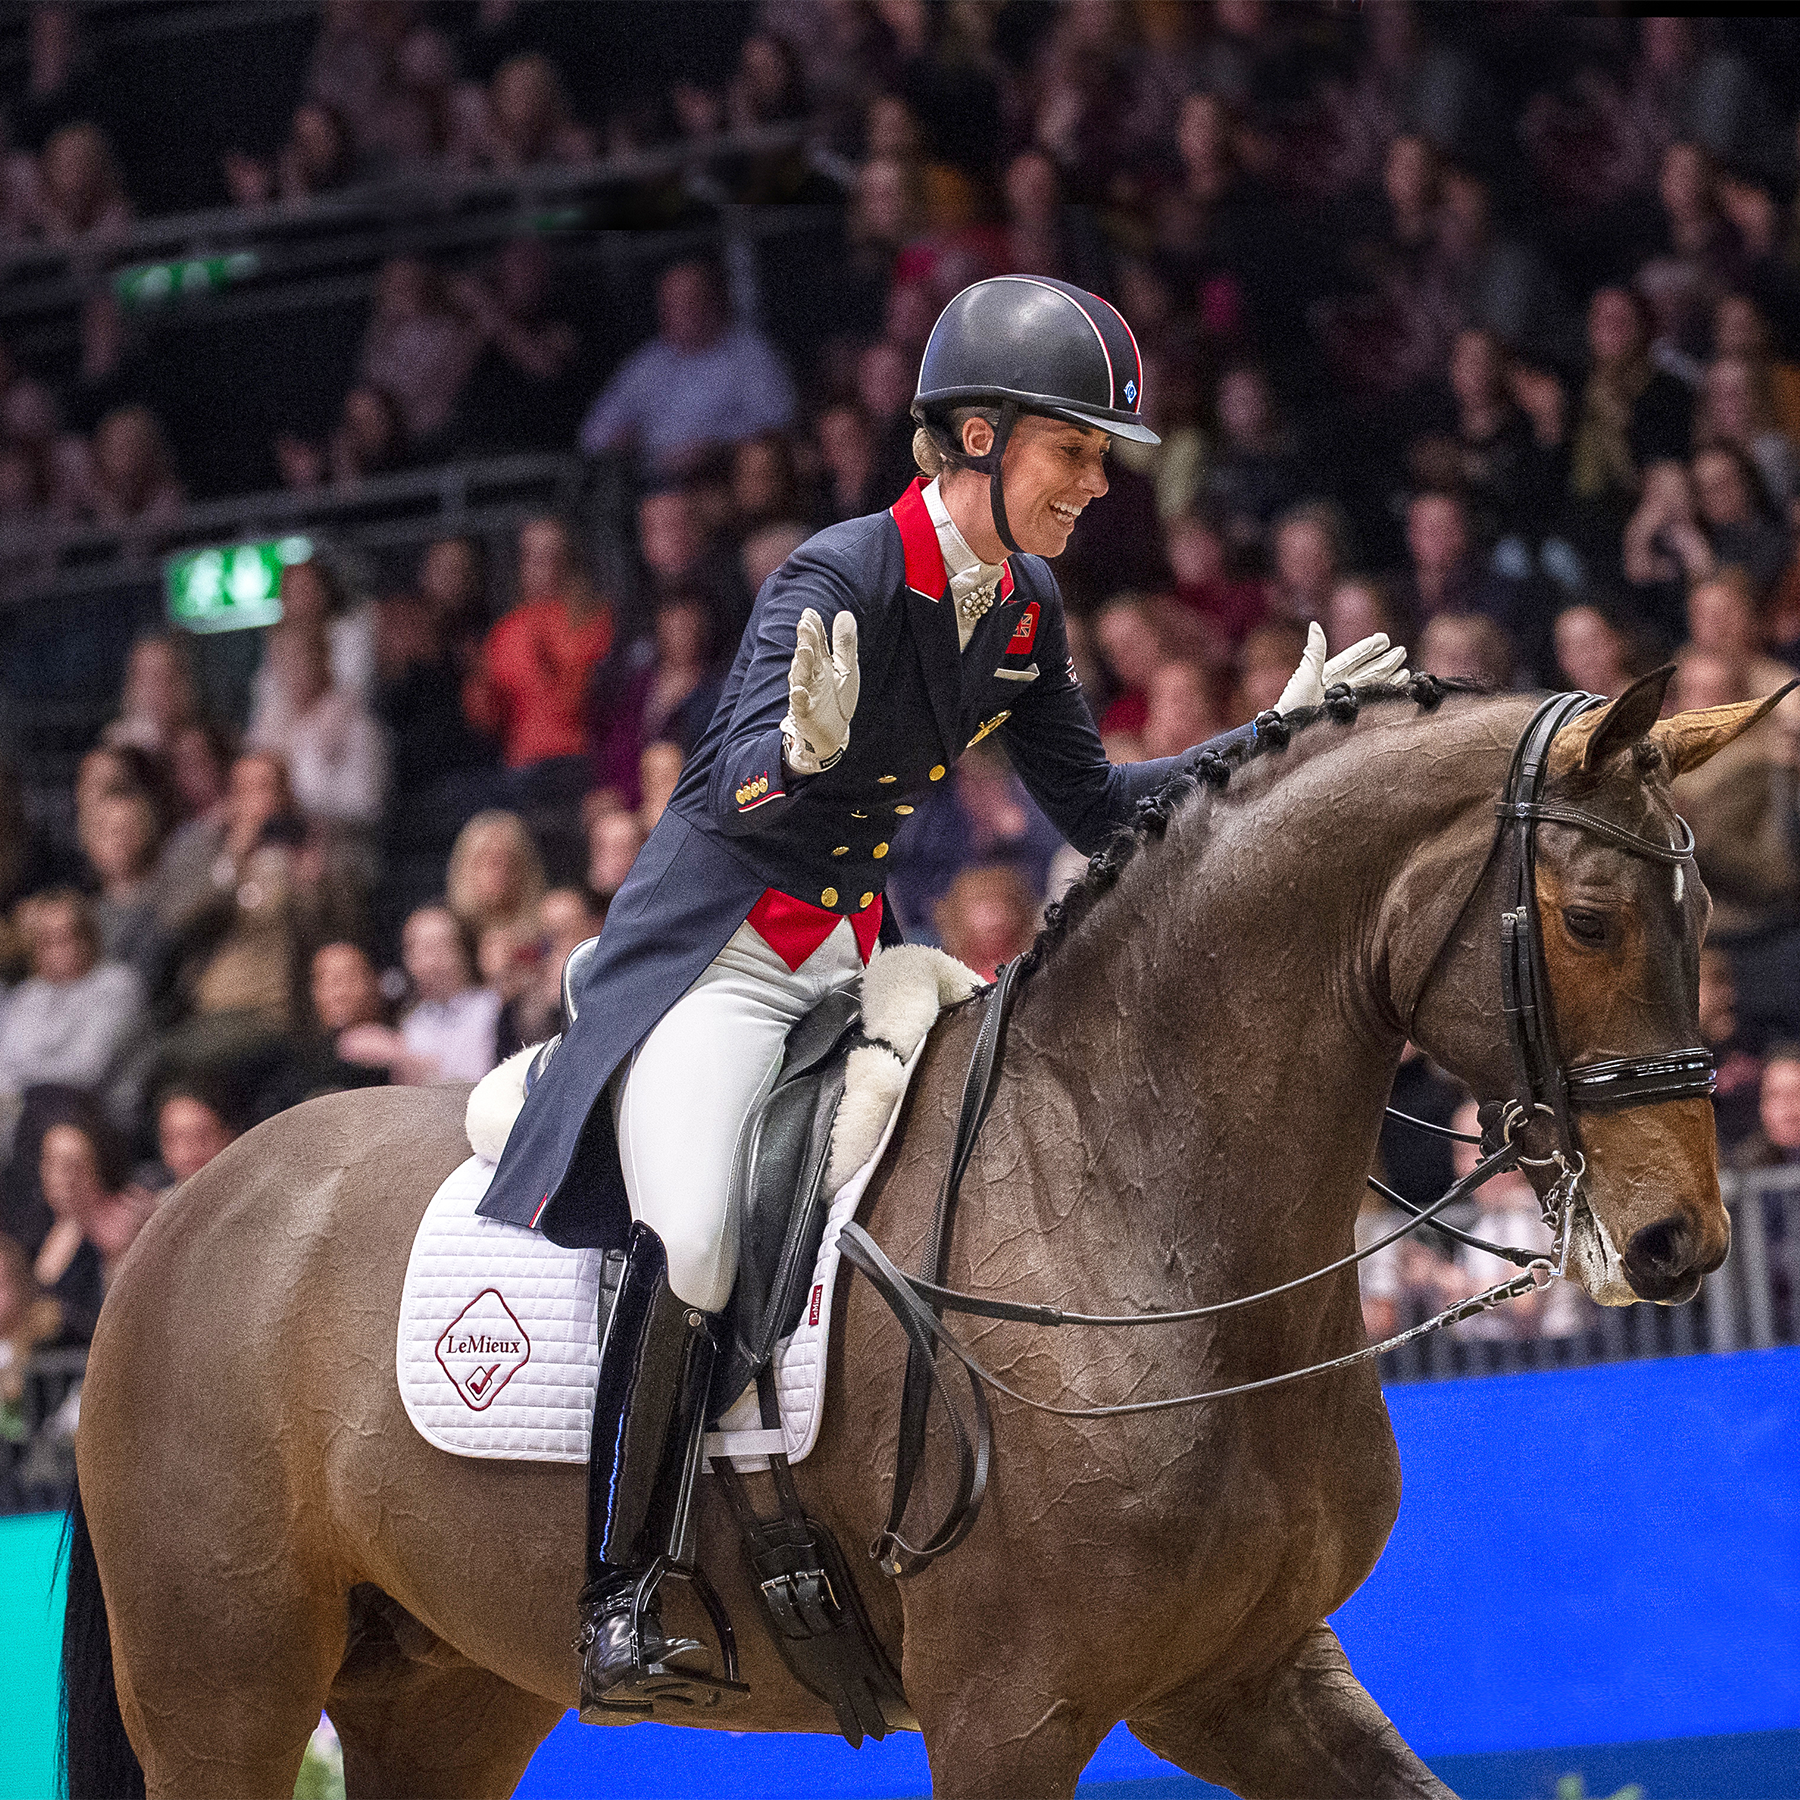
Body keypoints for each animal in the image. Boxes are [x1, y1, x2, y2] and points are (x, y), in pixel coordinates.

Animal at [66, 676, 1771, 1800]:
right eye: (1593, 921)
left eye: (1703, 923)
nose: (1678, 1241)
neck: (1140, 1205)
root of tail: (188, 1209)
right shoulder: (1012, 1707)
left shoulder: (1250, 1671)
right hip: (227, 1689)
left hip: (447, 1690)